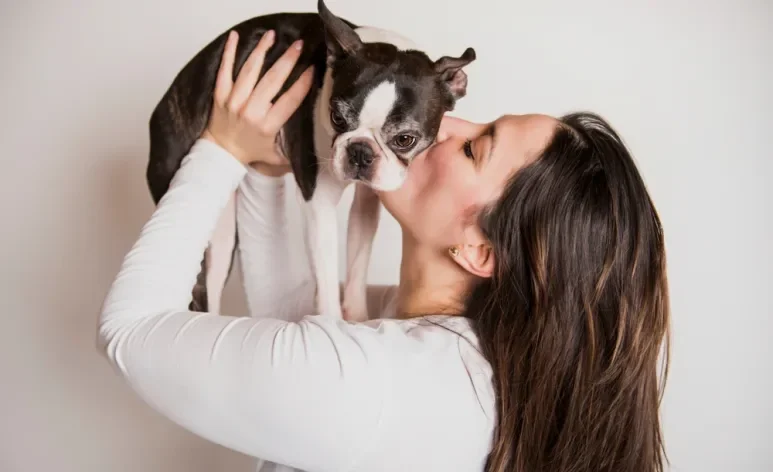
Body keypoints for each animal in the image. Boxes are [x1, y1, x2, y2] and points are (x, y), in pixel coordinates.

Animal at [142, 0, 474, 320]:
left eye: (405, 139)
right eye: (337, 117)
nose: (360, 151)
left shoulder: (368, 200)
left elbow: (358, 257)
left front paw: (357, 315)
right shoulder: (319, 204)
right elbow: (326, 278)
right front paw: (333, 324)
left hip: (221, 234)